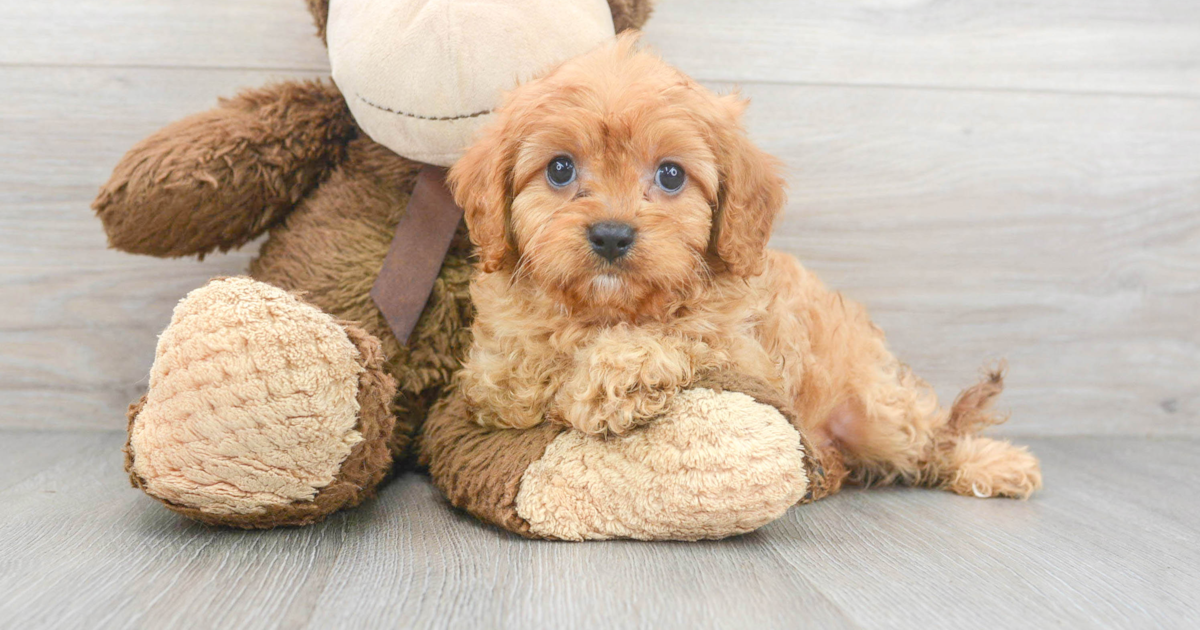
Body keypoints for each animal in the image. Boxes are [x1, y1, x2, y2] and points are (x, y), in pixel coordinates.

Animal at [451, 35, 1041, 501]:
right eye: (559, 169)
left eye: (670, 175)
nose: (612, 235)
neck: (609, 307)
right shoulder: (495, 371)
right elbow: (530, 370)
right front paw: (589, 369)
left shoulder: (744, 351)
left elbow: (688, 332)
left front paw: (617, 375)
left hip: (877, 408)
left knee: (930, 439)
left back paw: (994, 464)